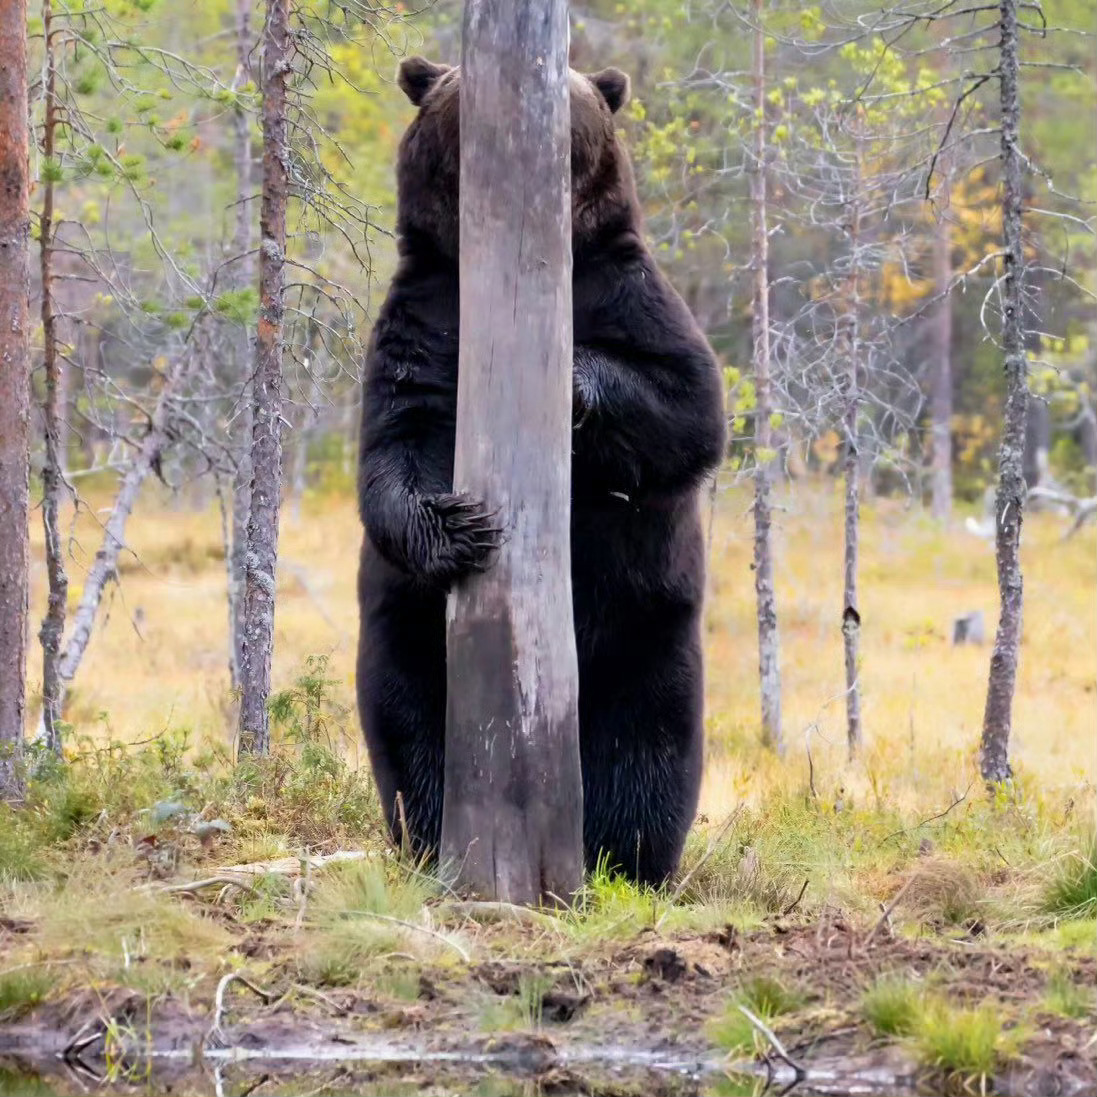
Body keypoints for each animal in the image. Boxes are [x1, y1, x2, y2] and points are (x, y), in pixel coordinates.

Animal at [356, 56, 726, 886]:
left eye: (574, 86)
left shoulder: (626, 291)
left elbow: (687, 405)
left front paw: (574, 378)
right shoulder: (425, 316)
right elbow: (394, 443)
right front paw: (459, 526)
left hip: (645, 633)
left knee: (646, 750)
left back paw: (628, 858)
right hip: (408, 637)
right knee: (410, 730)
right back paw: (432, 837)